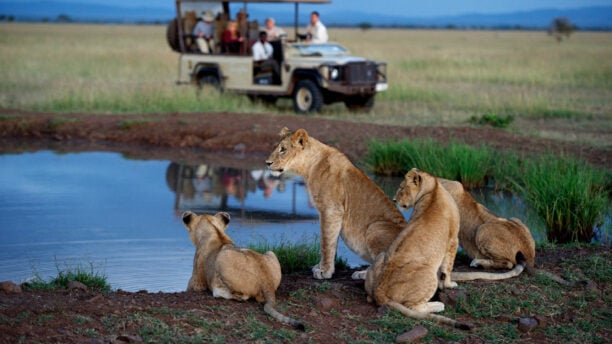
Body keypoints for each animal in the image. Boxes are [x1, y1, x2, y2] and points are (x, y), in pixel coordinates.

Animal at [266, 127, 406, 280]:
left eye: (283, 149)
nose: (267, 163)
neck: (309, 167)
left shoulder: (331, 210)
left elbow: (326, 241)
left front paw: (324, 271)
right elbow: (331, 241)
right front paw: (321, 267)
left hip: (375, 228)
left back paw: (363, 274)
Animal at [366, 168, 470, 330]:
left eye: (402, 188)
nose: (394, 200)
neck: (432, 189)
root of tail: (379, 291)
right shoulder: (453, 239)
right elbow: (447, 268)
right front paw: (449, 284)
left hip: (381, 256)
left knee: (369, 297)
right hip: (428, 274)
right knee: (413, 307)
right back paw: (438, 305)